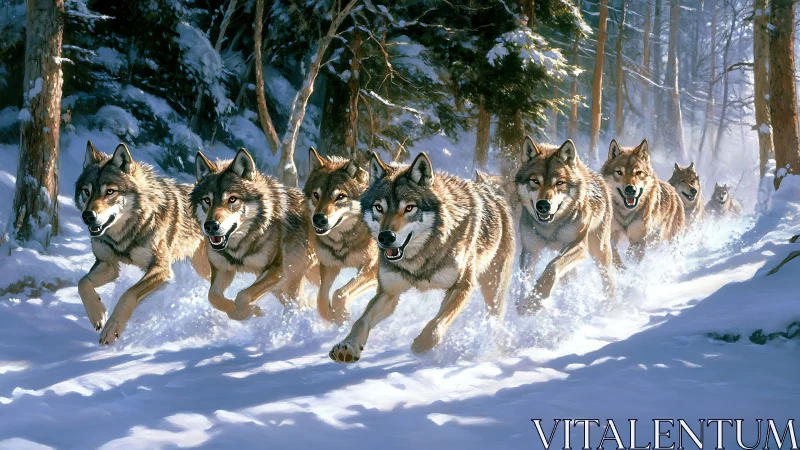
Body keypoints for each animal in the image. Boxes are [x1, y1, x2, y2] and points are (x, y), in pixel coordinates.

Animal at [75, 141, 209, 345]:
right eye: (86, 191)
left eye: (110, 192)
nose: (88, 216)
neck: (124, 236)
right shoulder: (109, 264)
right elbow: (82, 283)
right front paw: (98, 314)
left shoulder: (161, 268)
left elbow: (128, 293)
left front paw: (111, 329)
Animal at [191, 149, 318, 320]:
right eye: (207, 200)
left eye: (232, 199)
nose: (211, 226)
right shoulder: (223, 269)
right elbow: (213, 297)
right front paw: (240, 310)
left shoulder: (278, 270)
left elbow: (242, 296)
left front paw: (246, 311)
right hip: (287, 286)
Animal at [304, 147, 377, 325]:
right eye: (316, 195)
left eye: (340, 196)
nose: (319, 219)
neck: (343, 242)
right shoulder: (329, 265)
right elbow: (321, 299)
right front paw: (332, 318)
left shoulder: (372, 268)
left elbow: (339, 293)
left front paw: (343, 318)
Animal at [329, 152, 515, 363]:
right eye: (379, 207)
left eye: (409, 208)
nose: (385, 237)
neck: (418, 258)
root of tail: (491, 190)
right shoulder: (388, 293)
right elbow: (361, 321)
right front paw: (347, 346)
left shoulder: (463, 285)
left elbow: (437, 324)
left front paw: (421, 345)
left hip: (494, 290)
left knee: (495, 319)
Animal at [513, 137, 615, 314]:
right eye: (535, 181)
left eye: (559, 183)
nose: (543, 205)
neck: (550, 227)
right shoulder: (531, 249)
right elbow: (524, 280)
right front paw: (522, 306)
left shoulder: (579, 245)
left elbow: (551, 267)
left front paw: (535, 301)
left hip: (599, 251)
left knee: (609, 278)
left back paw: (611, 307)